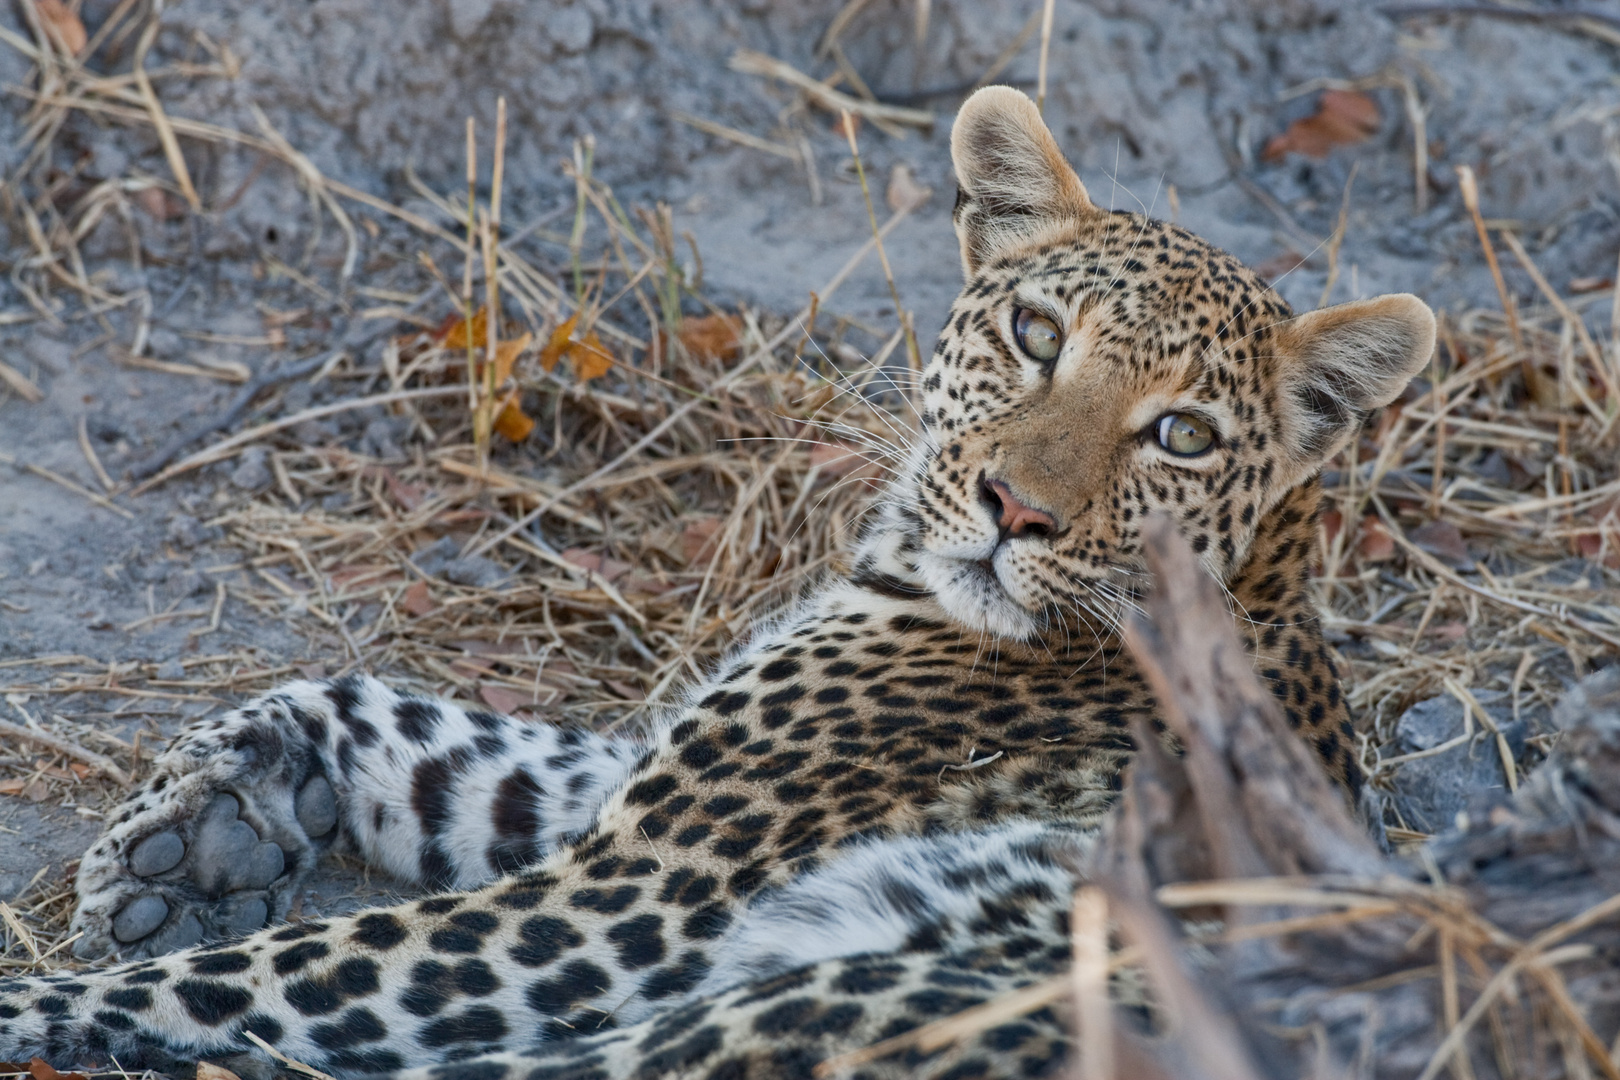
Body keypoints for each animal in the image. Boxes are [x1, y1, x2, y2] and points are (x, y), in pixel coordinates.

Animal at [0, 86, 1432, 1080]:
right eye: (1037, 337)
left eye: (1180, 436)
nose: (1015, 511)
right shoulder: (625, 802)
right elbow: (394, 713)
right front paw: (199, 827)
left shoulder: (628, 899)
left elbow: (258, 974)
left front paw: (51, 988)